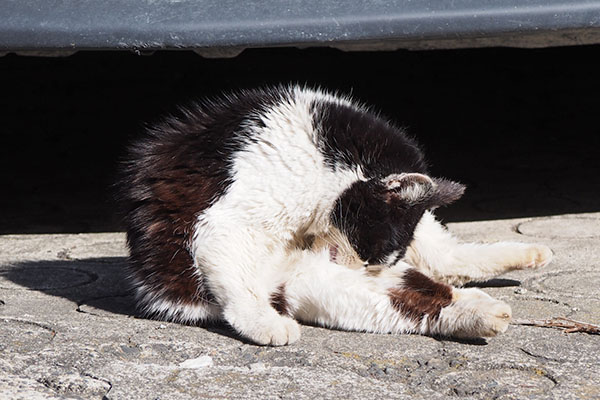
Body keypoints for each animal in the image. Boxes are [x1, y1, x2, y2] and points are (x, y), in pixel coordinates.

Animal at [117, 86, 552, 346]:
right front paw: (266, 324)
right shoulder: (227, 223)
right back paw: (487, 312)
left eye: (377, 254)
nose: (364, 268)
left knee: (442, 263)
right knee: (416, 295)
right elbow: (241, 284)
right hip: (307, 283)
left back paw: (529, 259)